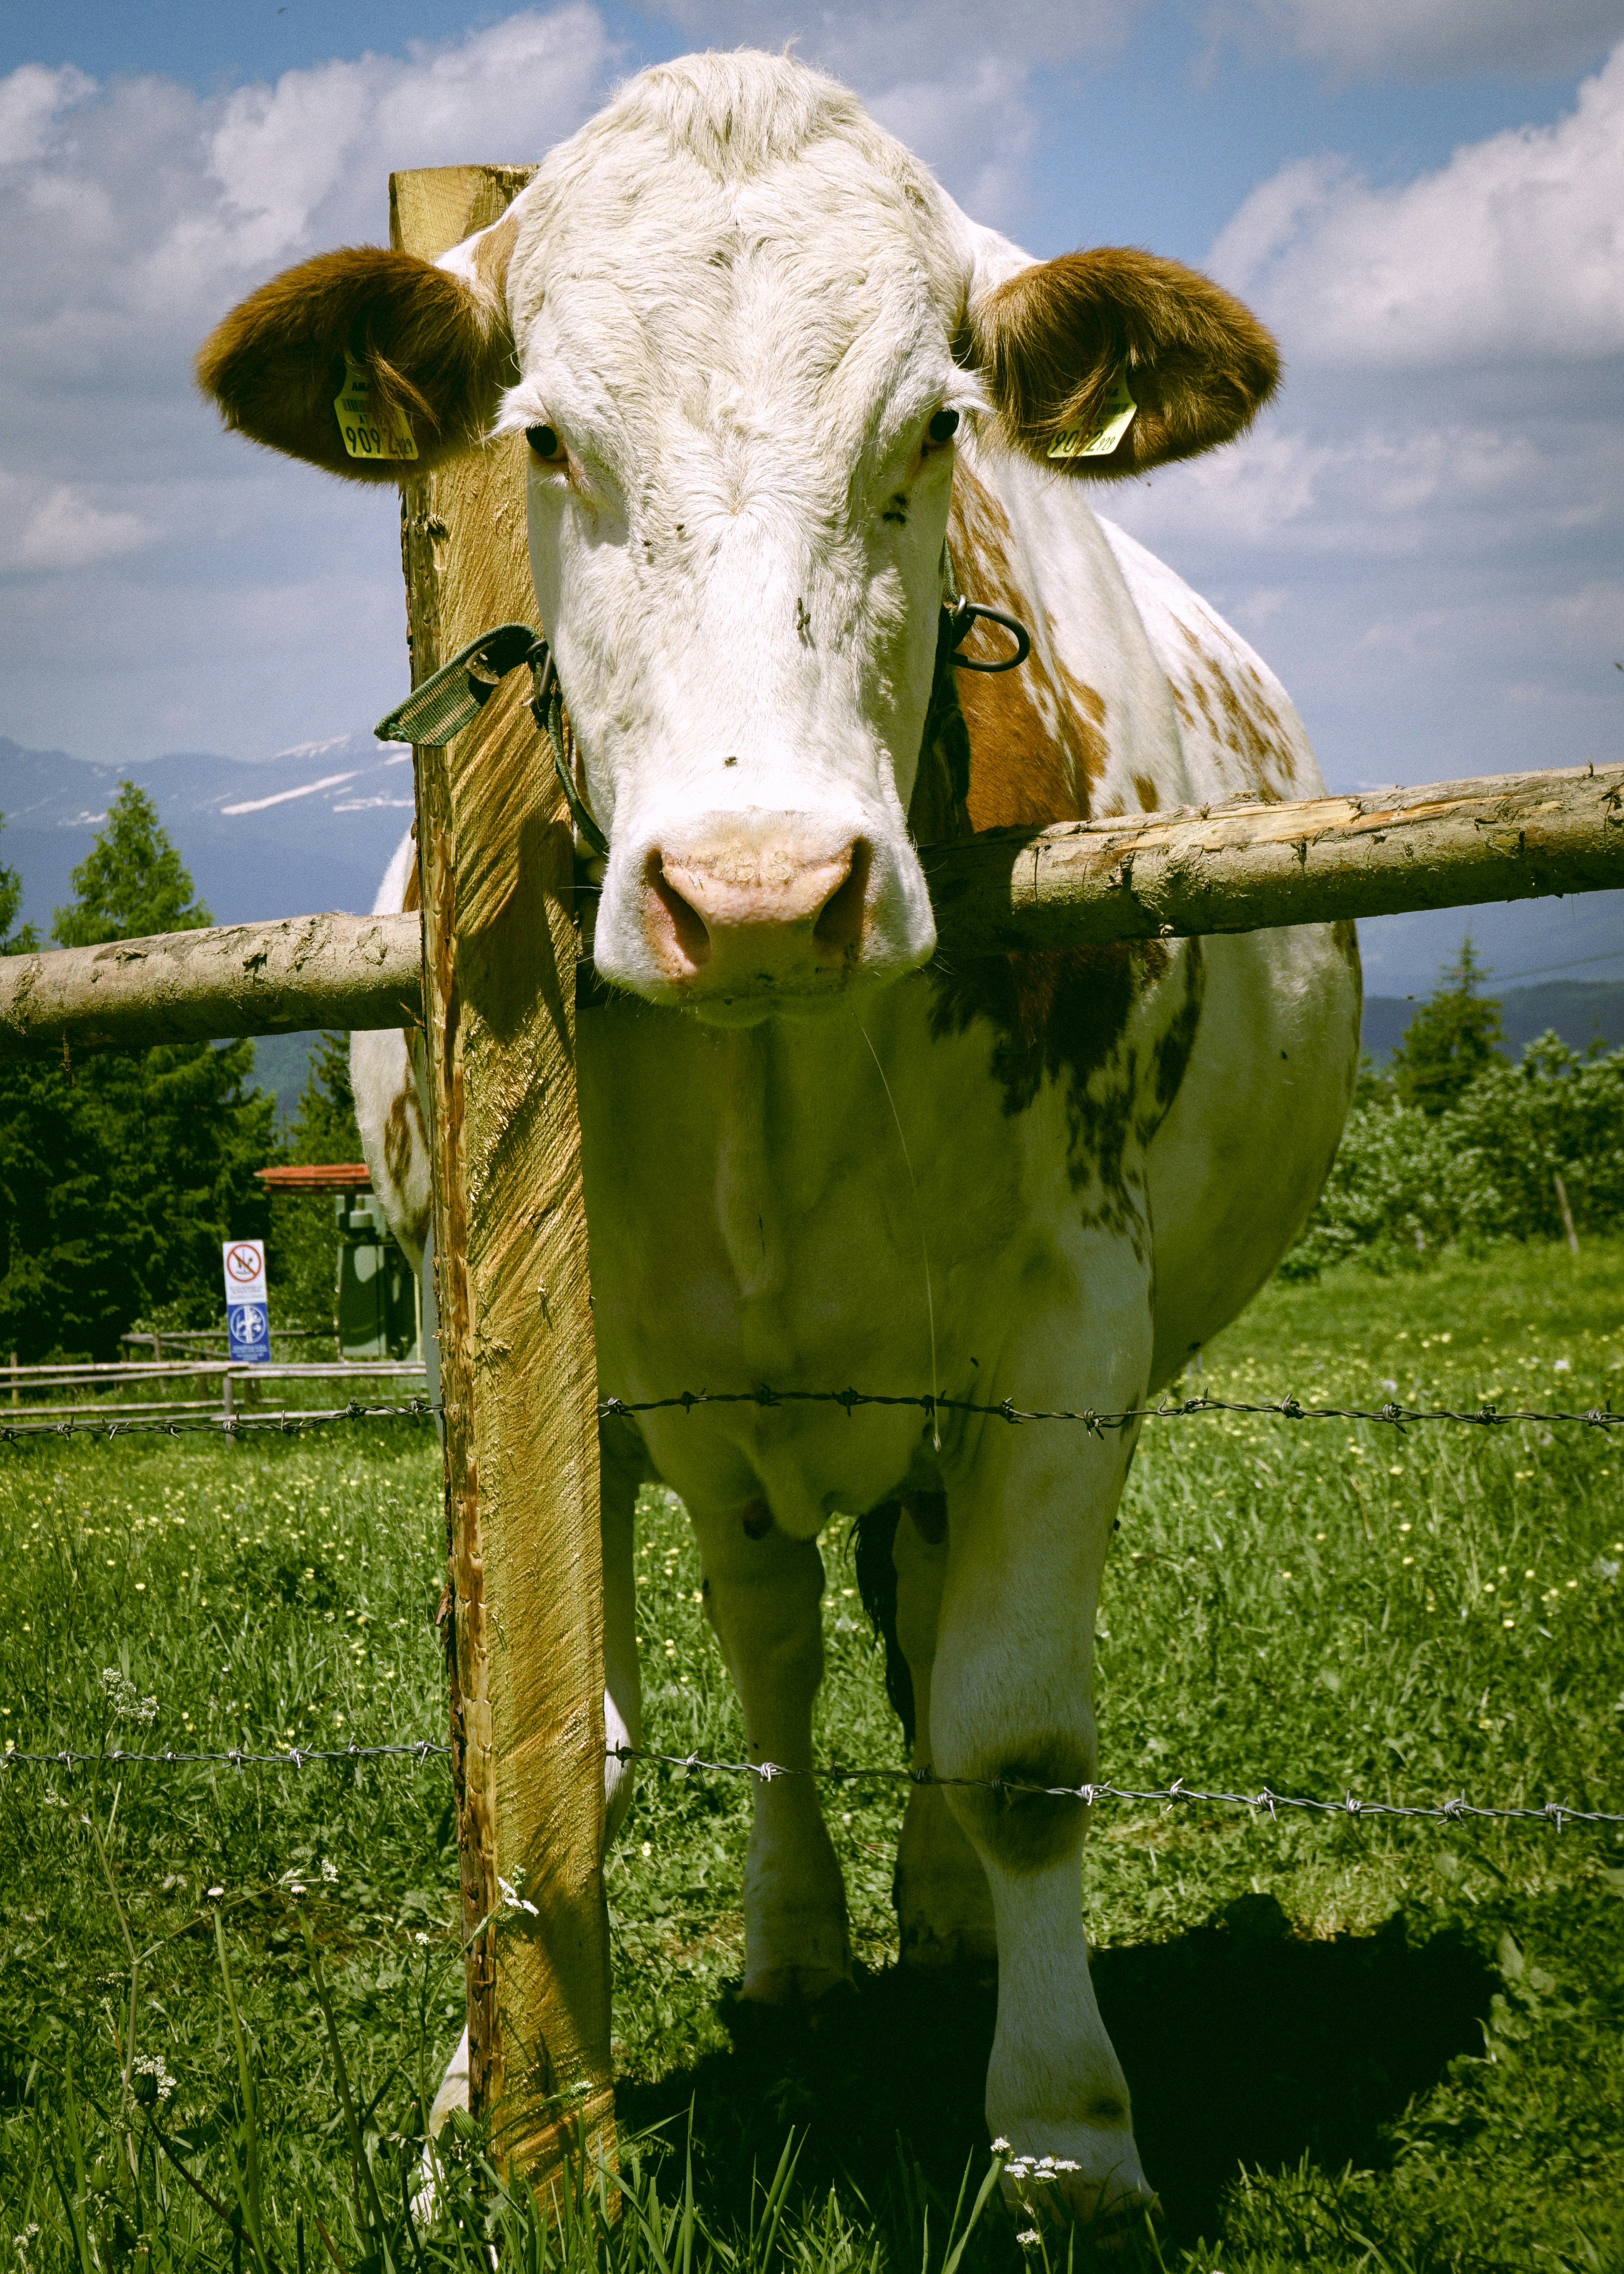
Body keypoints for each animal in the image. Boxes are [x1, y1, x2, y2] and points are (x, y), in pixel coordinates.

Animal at [195, 53, 1356, 2237]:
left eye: (934, 426)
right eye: (545, 436)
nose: (755, 891)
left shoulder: (1068, 1327)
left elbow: (1015, 1738)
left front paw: (1065, 2132)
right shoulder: (536, 1357)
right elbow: (546, 1733)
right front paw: (483, 2108)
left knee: (912, 1630)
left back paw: (941, 1923)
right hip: (718, 1412)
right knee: (776, 1647)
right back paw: (798, 1939)